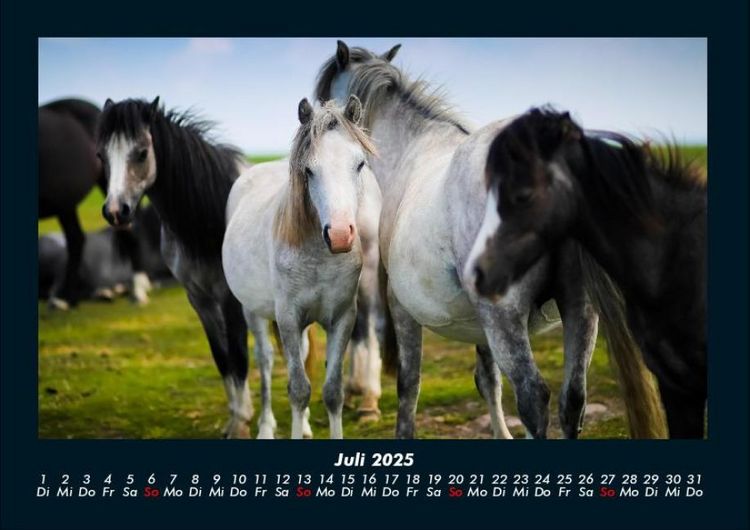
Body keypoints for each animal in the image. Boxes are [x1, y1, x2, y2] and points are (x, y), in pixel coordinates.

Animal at [97, 97, 258, 438]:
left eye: (141, 152)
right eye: (101, 155)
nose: (116, 211)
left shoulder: (229, 300)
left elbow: (239, 356)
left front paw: (241, 424)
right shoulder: (199, 299)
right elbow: (222, 357)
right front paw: (236, 417)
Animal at [222, 96, 382, 439]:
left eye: (360, 164)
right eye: (308, 170)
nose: (339, 235)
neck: (319, 258)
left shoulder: (342, 318)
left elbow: (333, 391)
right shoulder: (288, 319)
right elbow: (298, 389)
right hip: (253, 312)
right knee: (266, 362)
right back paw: (266, 428)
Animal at [313, 41, 632, 439]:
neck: (412, 149)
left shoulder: (402, 307)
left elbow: (408, 384)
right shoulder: (479, 322)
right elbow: (488, 380)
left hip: (505, 317)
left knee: (533, 397)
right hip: (579, 308)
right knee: (572, 399)